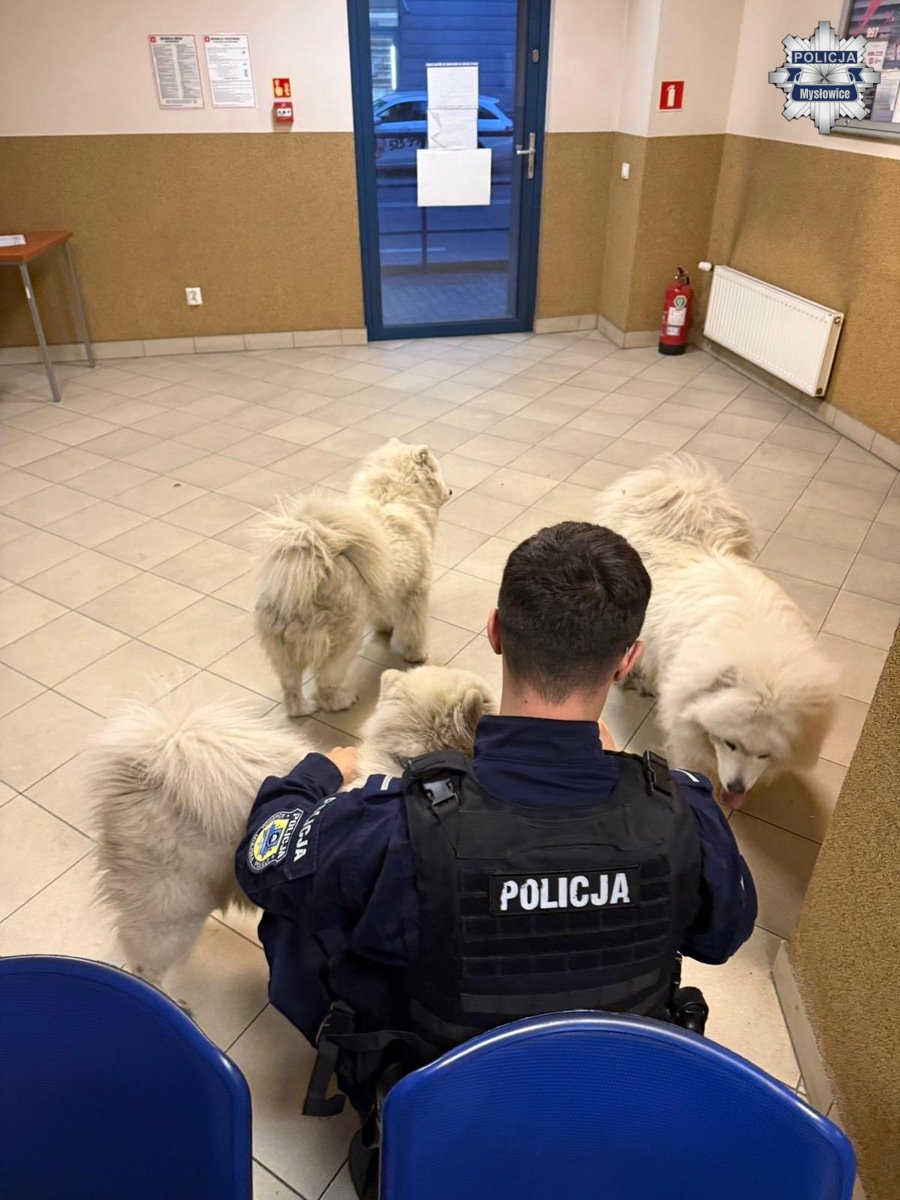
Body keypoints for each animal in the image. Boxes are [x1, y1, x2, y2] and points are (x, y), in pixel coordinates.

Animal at [255, 439, 450, 717]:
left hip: (285, 653)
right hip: (343, 641)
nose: (451, 491)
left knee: (290, 687)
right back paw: (342, 700)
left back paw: (302, 709)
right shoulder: (415, 592)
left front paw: (385, 629)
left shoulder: (386, 591)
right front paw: (416, 656)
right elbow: (414, 630)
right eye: (438, 470)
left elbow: (385, 615)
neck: (396, 494)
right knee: (326, 682)